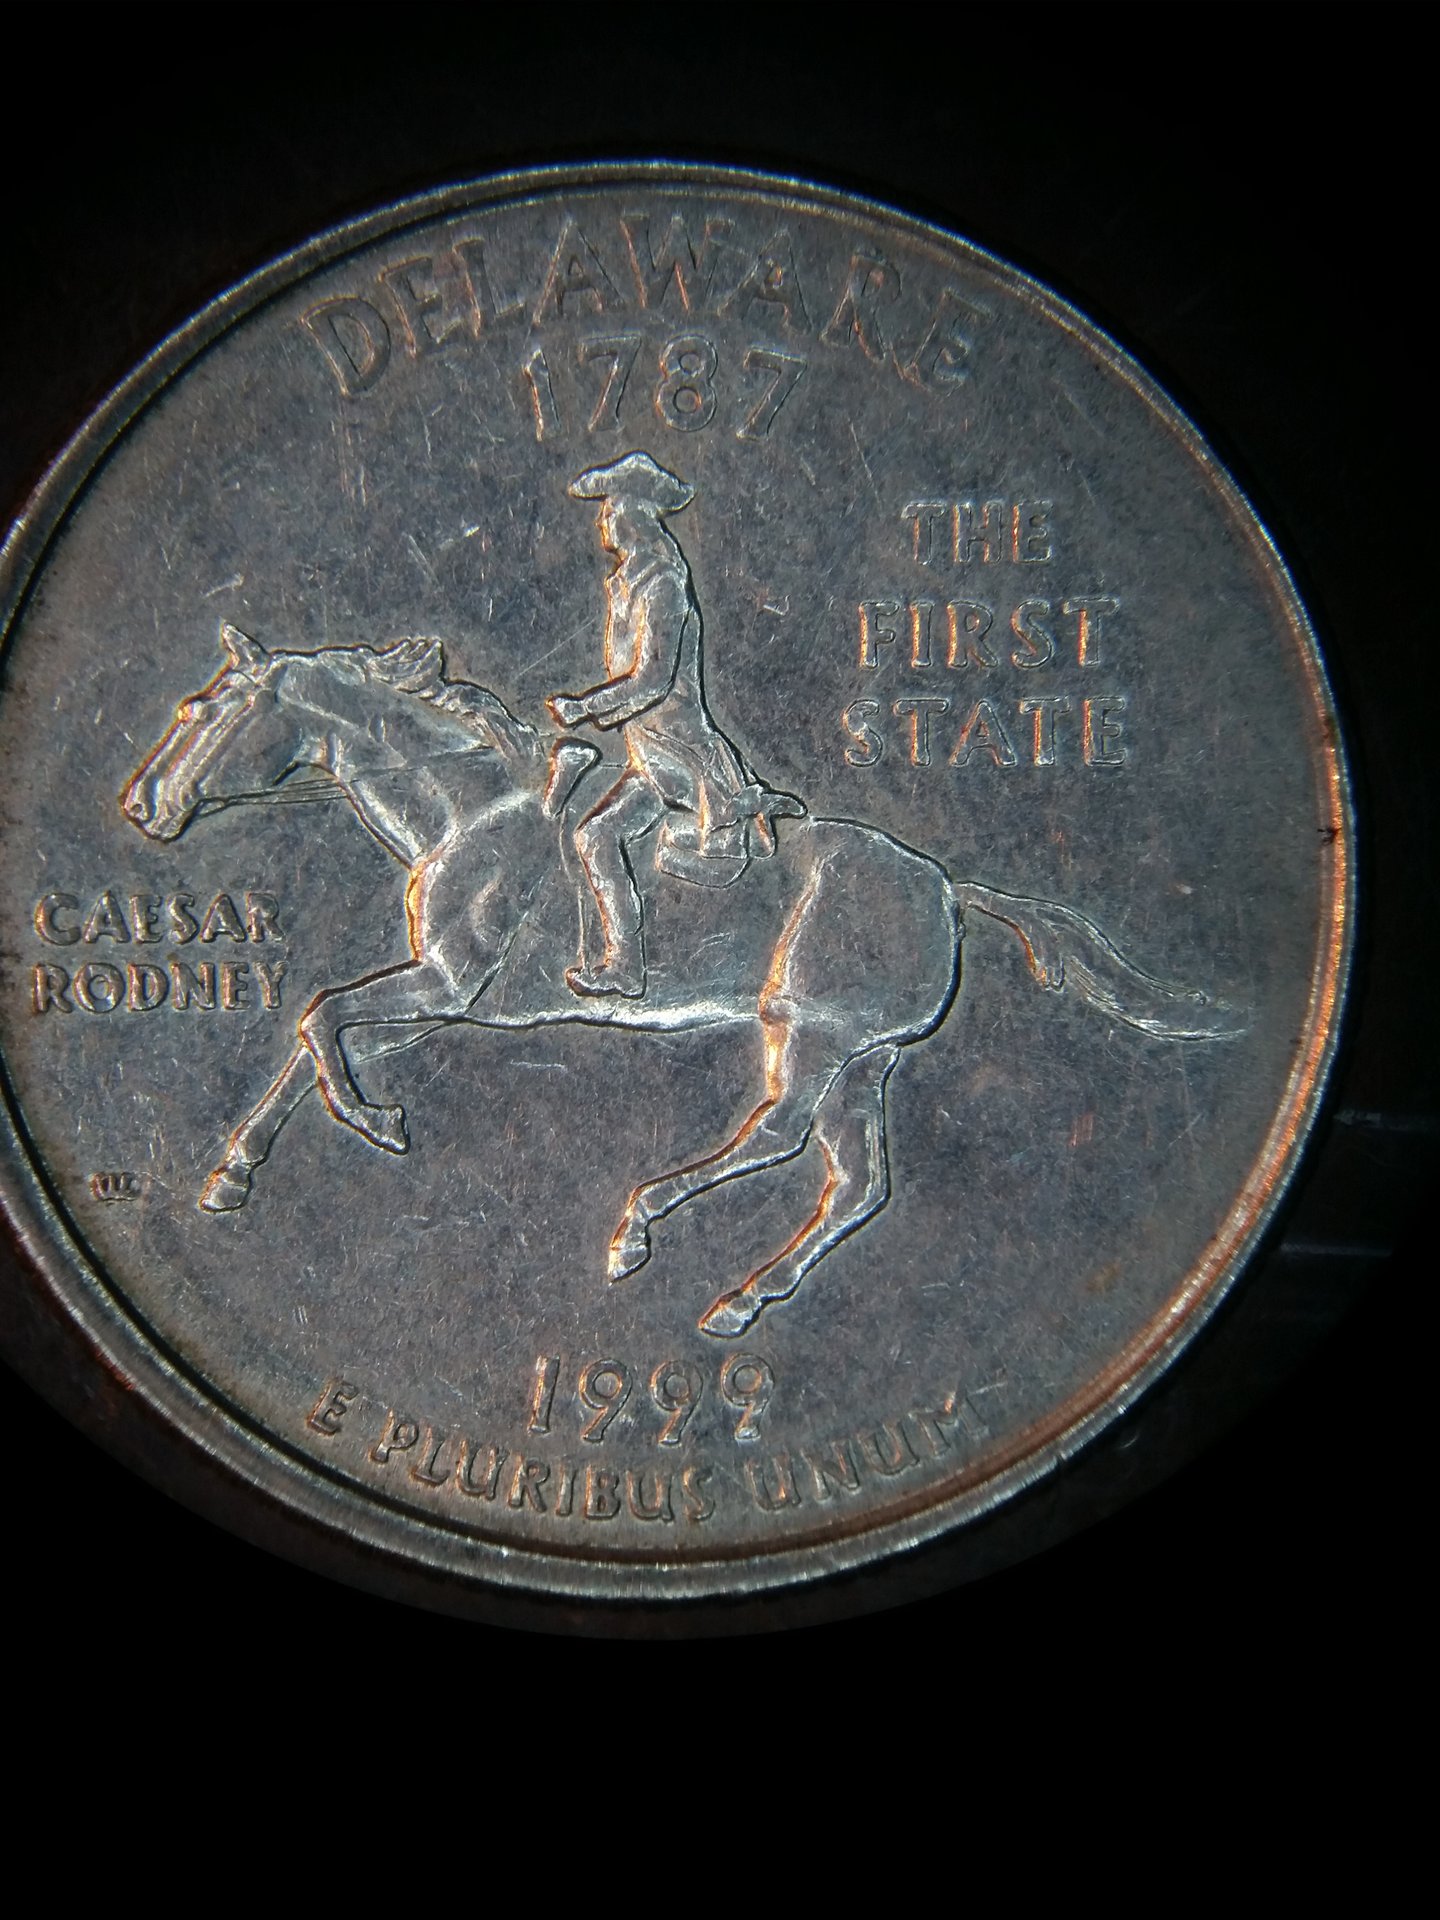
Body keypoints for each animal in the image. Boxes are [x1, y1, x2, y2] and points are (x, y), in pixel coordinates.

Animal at [122, 621, 1233, 1337]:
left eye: (208, 709)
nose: (141, 805)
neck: (470, 810)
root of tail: (950, 886)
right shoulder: (451, 1002)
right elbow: (317, 1040)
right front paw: (233, 1175)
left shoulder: (443, 984)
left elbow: (319, 1018)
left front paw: (373, 1124)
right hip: (861, 1058)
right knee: (855, 1182)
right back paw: (740, 1298)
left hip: (814, 1034)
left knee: (783, 1136)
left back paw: (638, 1229)